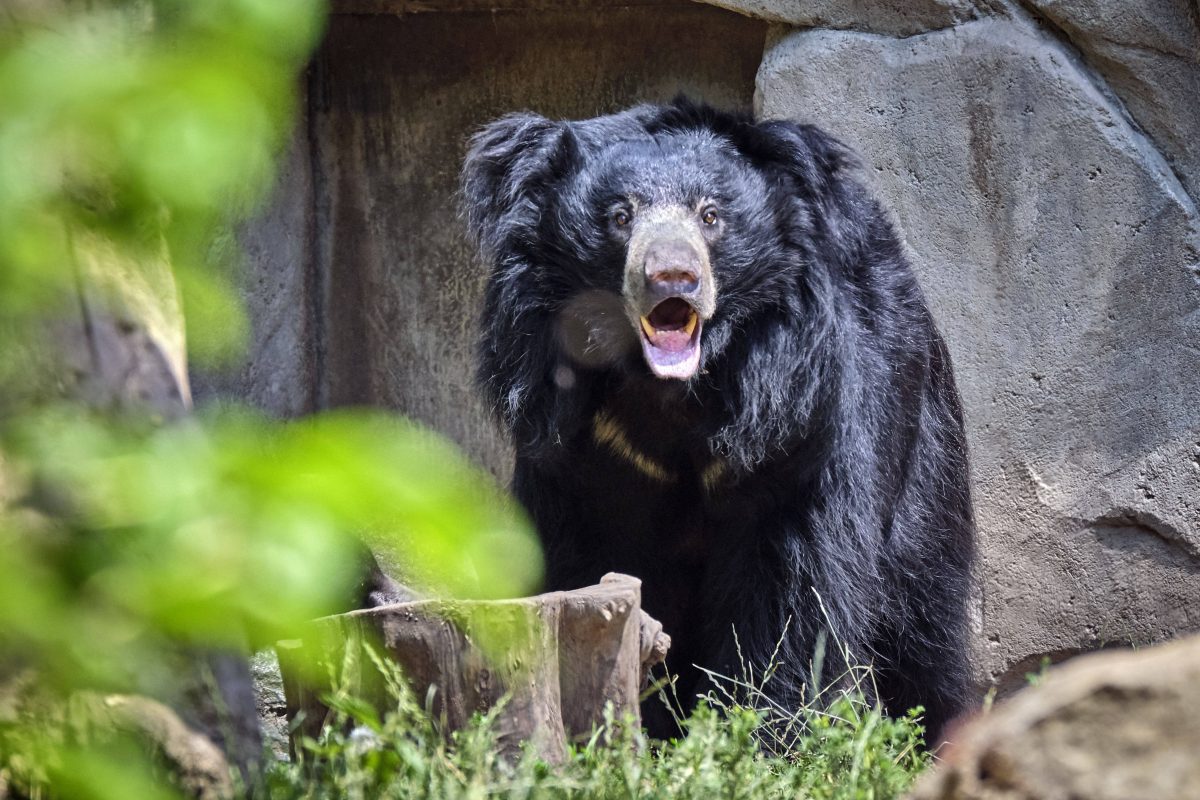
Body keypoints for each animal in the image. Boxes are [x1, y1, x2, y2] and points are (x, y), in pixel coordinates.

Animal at [458, 100, 974, 743]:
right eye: (620, 216)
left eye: (710, 216)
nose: (672, 276)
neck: (672, 391)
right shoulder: (579, 443)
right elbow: (584, 558)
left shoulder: (793, 418)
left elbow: (790, 581)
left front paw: (765, 728)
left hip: (921, 447)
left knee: (922, 606)